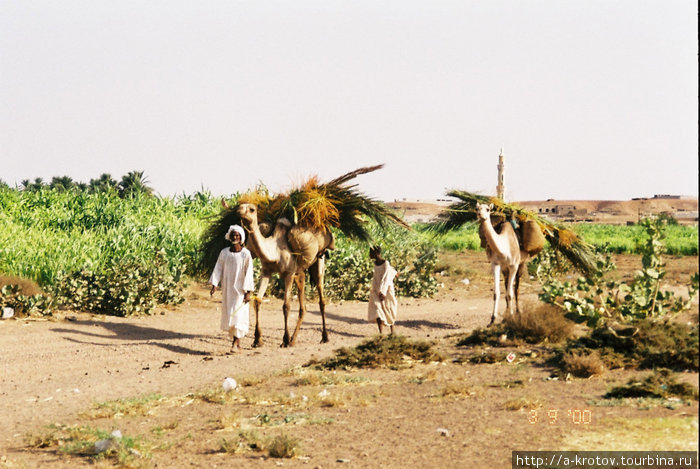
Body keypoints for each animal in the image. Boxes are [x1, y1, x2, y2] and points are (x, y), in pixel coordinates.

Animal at [237, 203, 334, 346]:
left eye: (252, 209)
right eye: (240, 205)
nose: (238, 211)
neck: (274, 251)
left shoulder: (289, 273)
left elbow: (286, 306)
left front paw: (285, 340)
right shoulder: (266, 271)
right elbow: (258, 301)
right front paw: (257, 339)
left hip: (319, 261)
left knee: (321, 297)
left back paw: (324, 337)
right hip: (300, 272)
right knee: (303, 306)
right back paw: (294, 340)